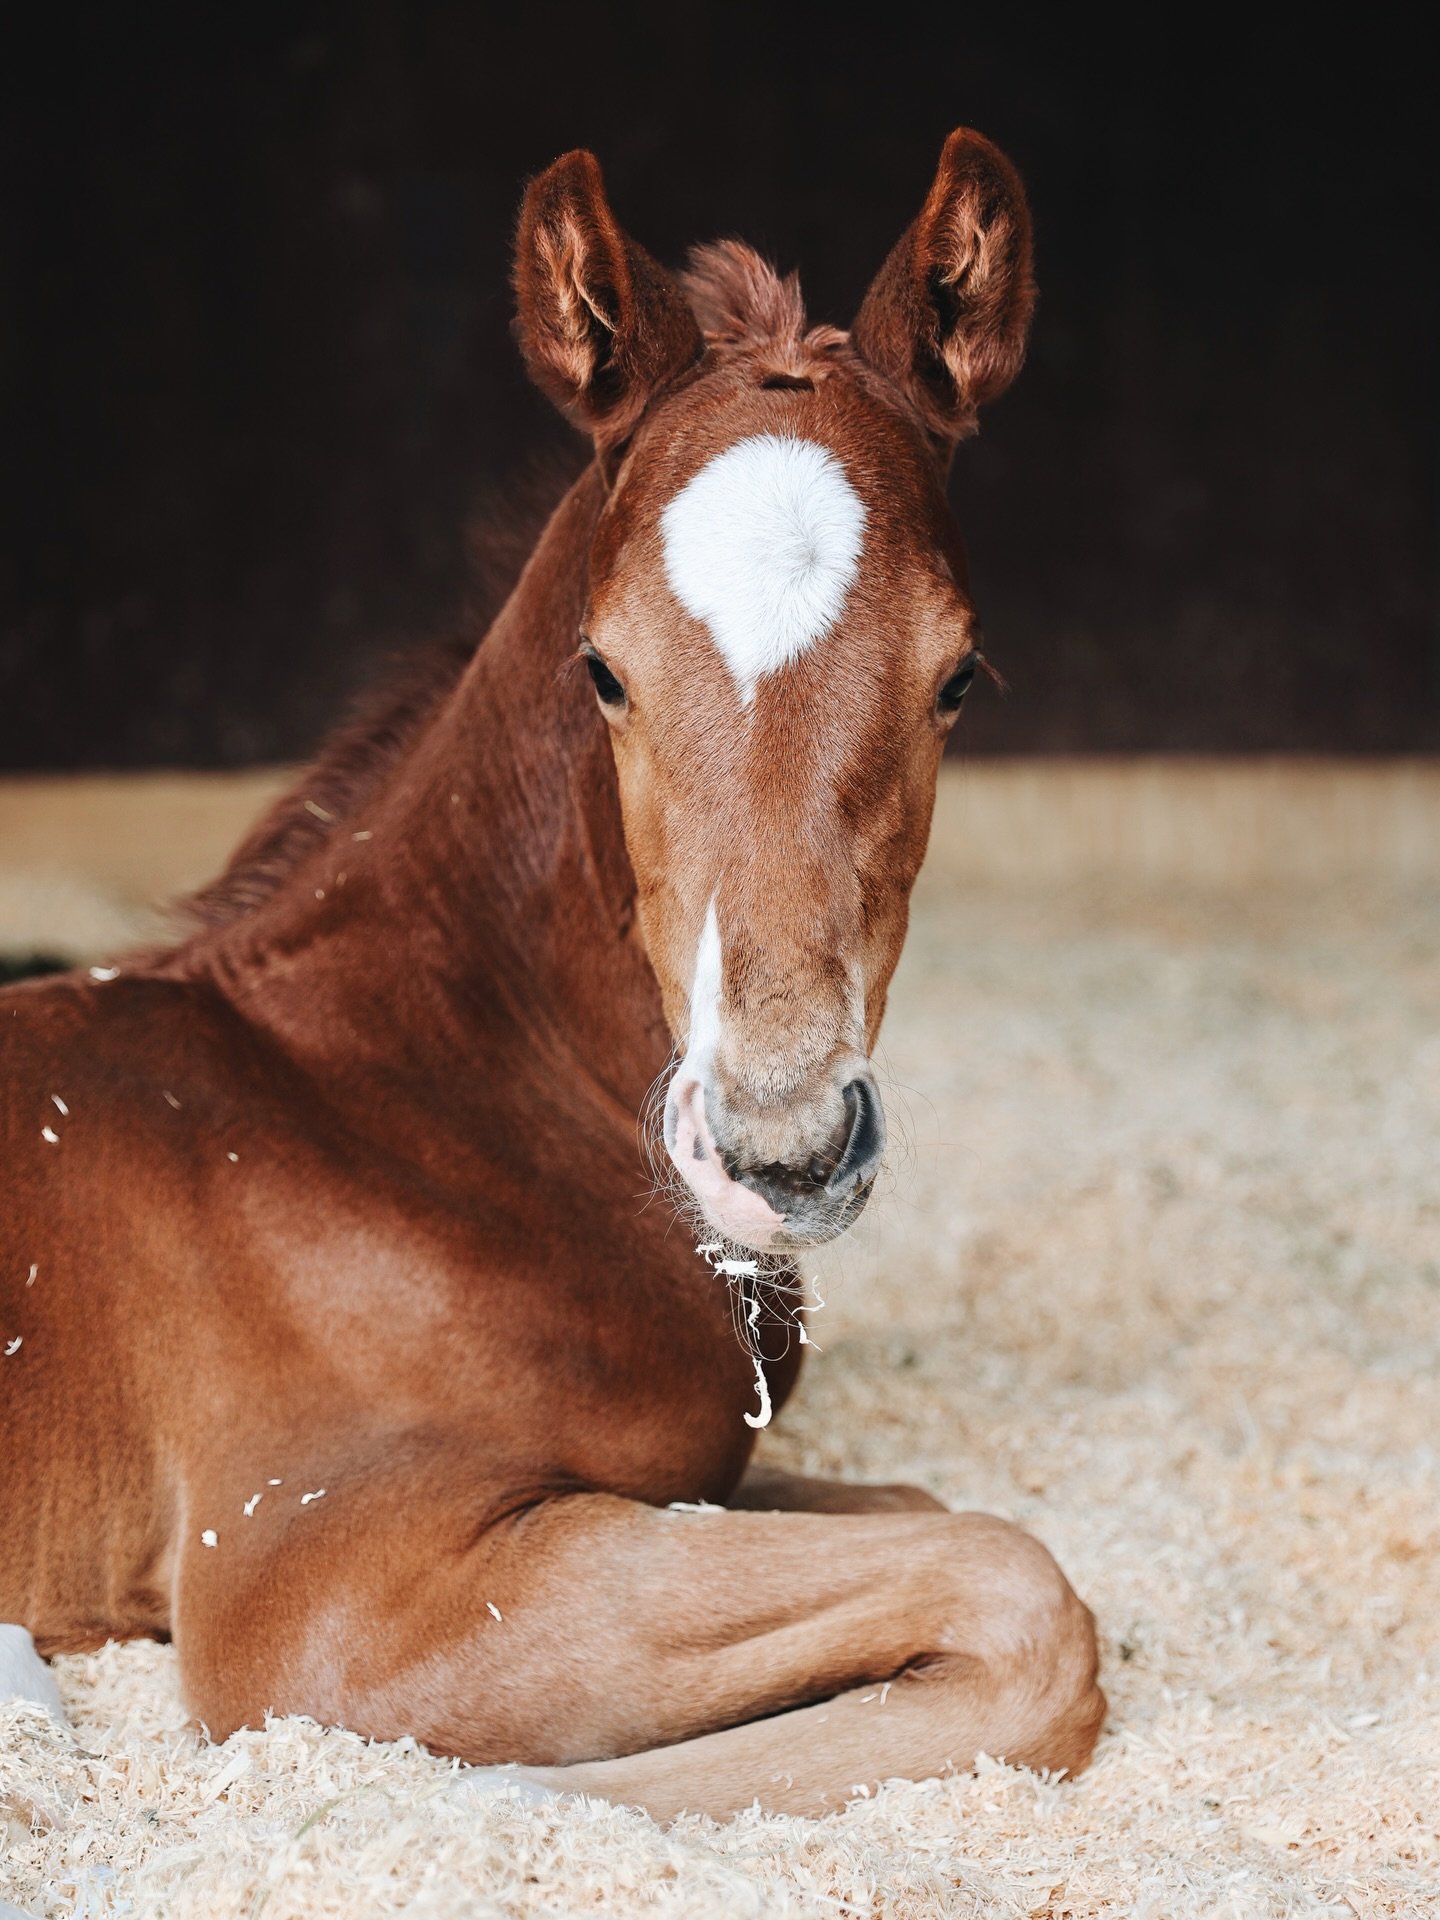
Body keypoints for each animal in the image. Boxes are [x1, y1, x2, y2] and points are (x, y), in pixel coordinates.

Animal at [0, 129, 1103, 1820]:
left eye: (961, 677)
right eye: (605, 670)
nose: (780, 1149)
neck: (407, 1112)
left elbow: (925, 1520)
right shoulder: (318, 1596)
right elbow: (1017, 1589)